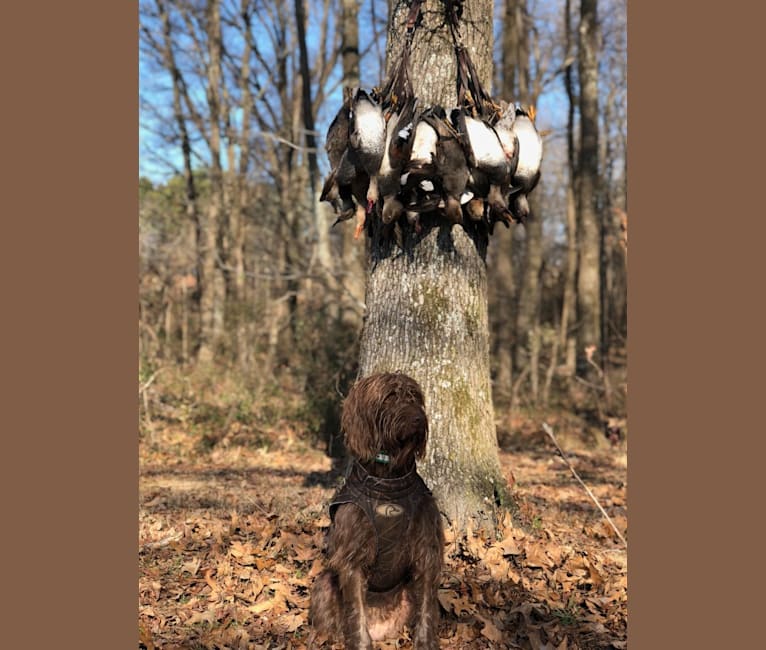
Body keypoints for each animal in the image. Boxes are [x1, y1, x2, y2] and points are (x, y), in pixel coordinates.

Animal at [310, 370, 444, 648]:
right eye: (390, 396)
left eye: (414, 397)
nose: (418, 418)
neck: (388, 479)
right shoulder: (352, 555)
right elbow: (355, 610)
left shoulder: (427, 547)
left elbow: (428, 604)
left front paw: (425, 641)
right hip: (325, 582)